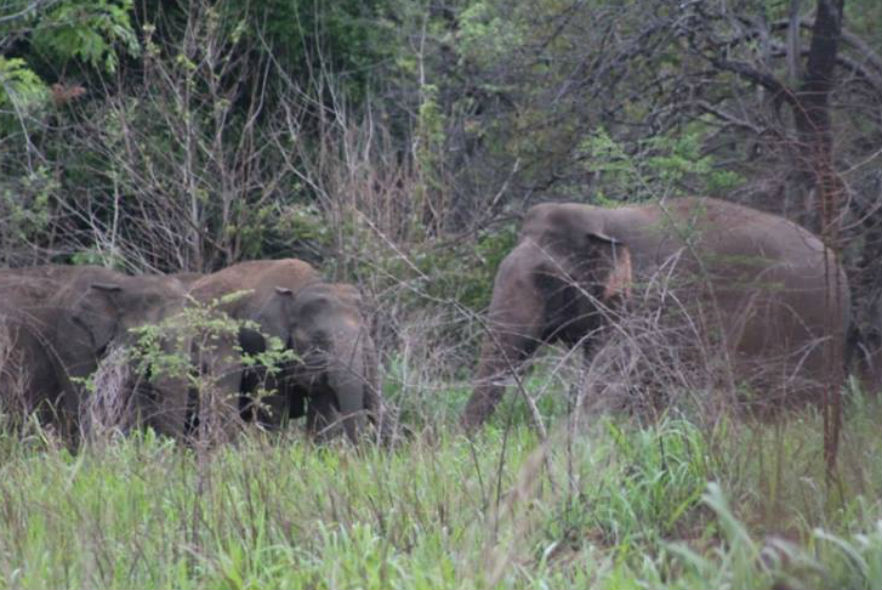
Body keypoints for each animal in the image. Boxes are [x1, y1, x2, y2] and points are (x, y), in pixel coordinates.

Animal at [187, 260, 384, 444]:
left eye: (364, 334)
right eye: (318, 338)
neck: (302, 288)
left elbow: (321, 409)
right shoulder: (265, 348)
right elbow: (274, 404)